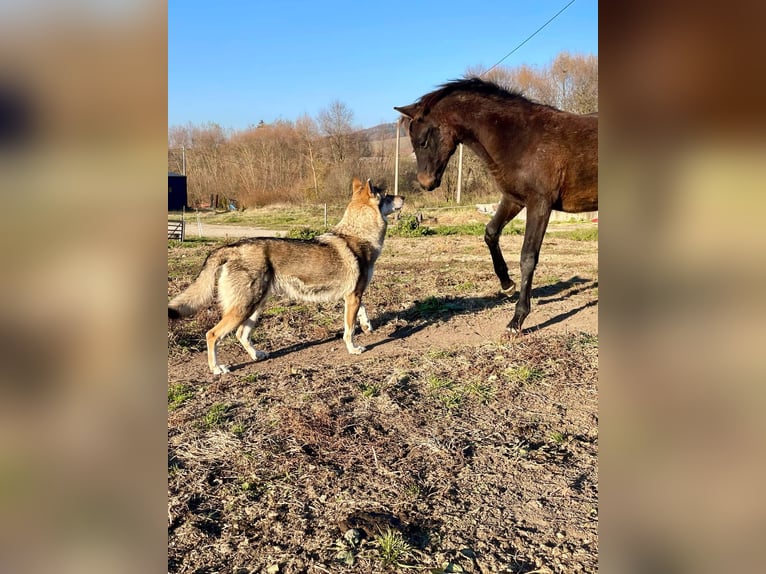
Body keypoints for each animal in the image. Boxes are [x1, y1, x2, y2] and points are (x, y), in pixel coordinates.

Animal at [394, 77, 598, 335]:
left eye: (423, 140)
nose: (426, 183)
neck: (523, 138)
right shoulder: (514, 199)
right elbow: (491, 233)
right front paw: (507, 284)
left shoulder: (540, 204)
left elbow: (528, 257)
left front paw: (517, 320)